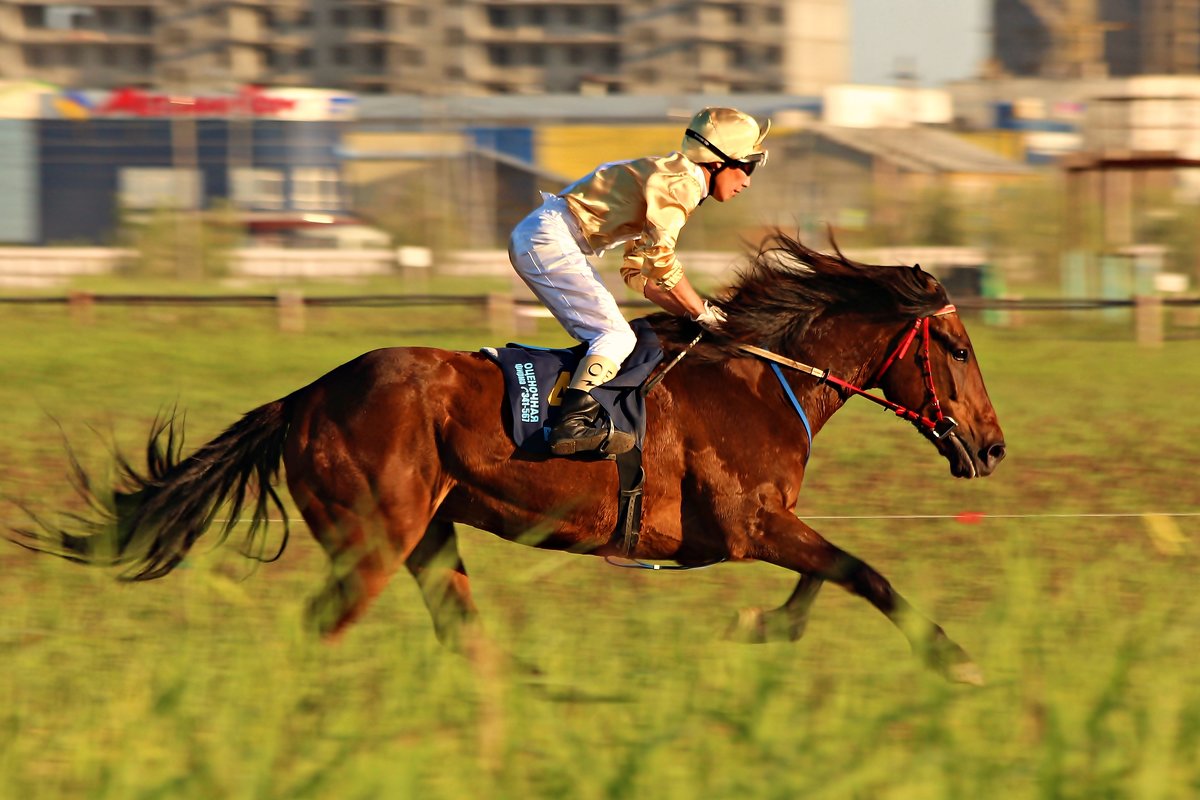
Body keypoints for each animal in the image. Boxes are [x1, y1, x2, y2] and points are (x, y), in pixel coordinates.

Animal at [11, 235, 1003, 686]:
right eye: (957, 347)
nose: (991, 446)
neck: (762, 380)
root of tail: (306, 396)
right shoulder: (749, 525)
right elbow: (863, 572)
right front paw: (956, 660)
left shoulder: (763, 529)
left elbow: (827, 580)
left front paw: (762, 627)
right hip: (374, 537)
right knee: (325, 627)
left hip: (428, 535)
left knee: (460, 631)